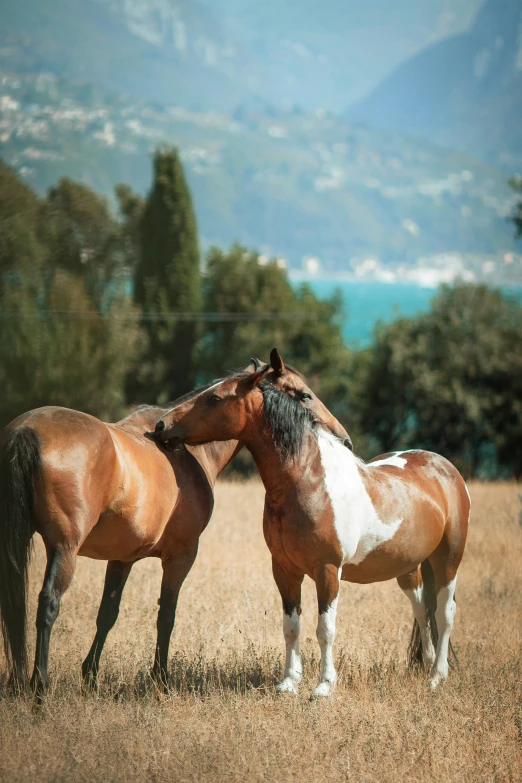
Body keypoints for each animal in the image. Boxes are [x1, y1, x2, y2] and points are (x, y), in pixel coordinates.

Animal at [0, 362, 350, 700]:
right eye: (303, 394)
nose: (343, 438)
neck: (188, 452)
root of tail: (25, 429)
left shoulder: (122, 558)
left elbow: (107, 613)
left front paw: (91, 677)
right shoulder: (181, 555)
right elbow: (166, 615)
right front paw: (162, 680)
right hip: (64, 549)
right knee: (48, 603)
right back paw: (40, 685)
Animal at [153, 352, 468, 696]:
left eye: (214, 398)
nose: (161, 425)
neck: (307, 480)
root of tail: (442, 466)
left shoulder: (327, 570)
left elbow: (324, 629)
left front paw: (324, 686)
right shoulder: (284, 569)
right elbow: (291, 626)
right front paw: (289, 682)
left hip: (448, 559)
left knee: (445, 612)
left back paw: (437, 676)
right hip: (408, 567)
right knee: (422, 610)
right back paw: (426, 667)